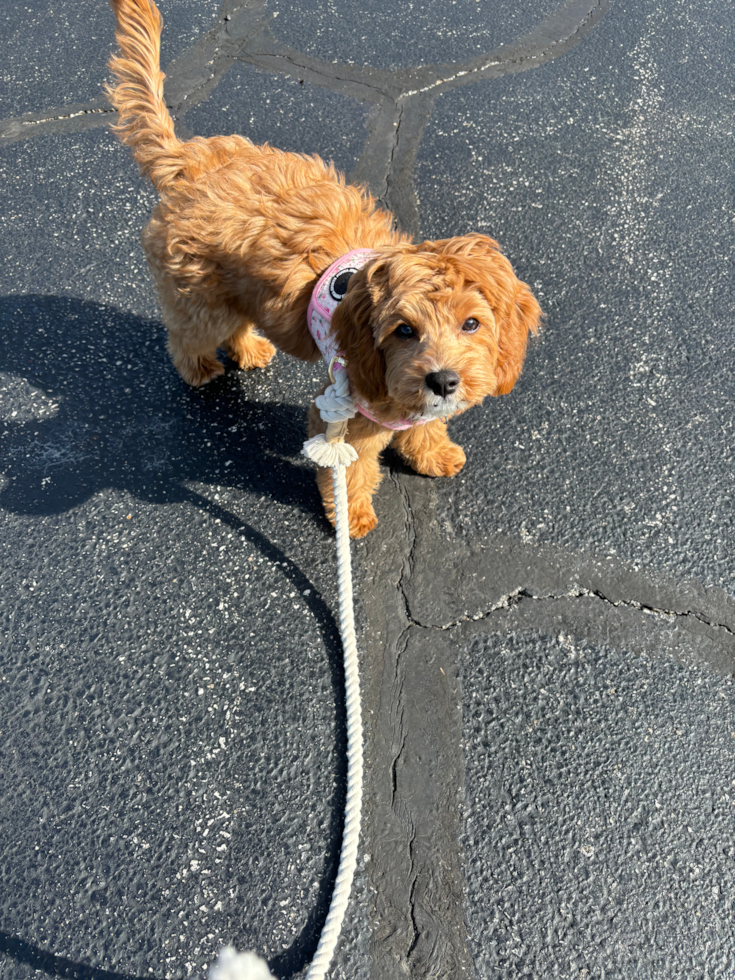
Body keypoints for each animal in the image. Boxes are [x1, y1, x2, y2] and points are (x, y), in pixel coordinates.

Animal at [106, 0, 540, 536]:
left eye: (473, 324)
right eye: (403, 331)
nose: (442, 380)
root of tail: (187, 161)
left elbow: (425, 425)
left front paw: (431, 451)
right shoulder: (342, 408)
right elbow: (349, 466)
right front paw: (352, 517)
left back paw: (249, 348)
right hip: (198, 292)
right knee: (189, 334)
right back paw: (201, 368)